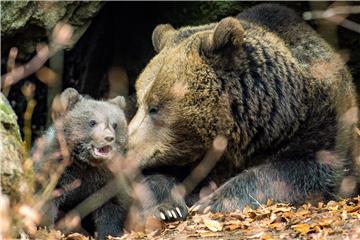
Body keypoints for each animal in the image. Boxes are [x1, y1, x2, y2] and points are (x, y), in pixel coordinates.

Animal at [128, 3, 358, 221]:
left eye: (154, 107)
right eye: (140, 101)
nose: (126, 149)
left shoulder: (321, 119)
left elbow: (308, 169)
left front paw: (211, 202)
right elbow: (154, 177)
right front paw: (168, 207)